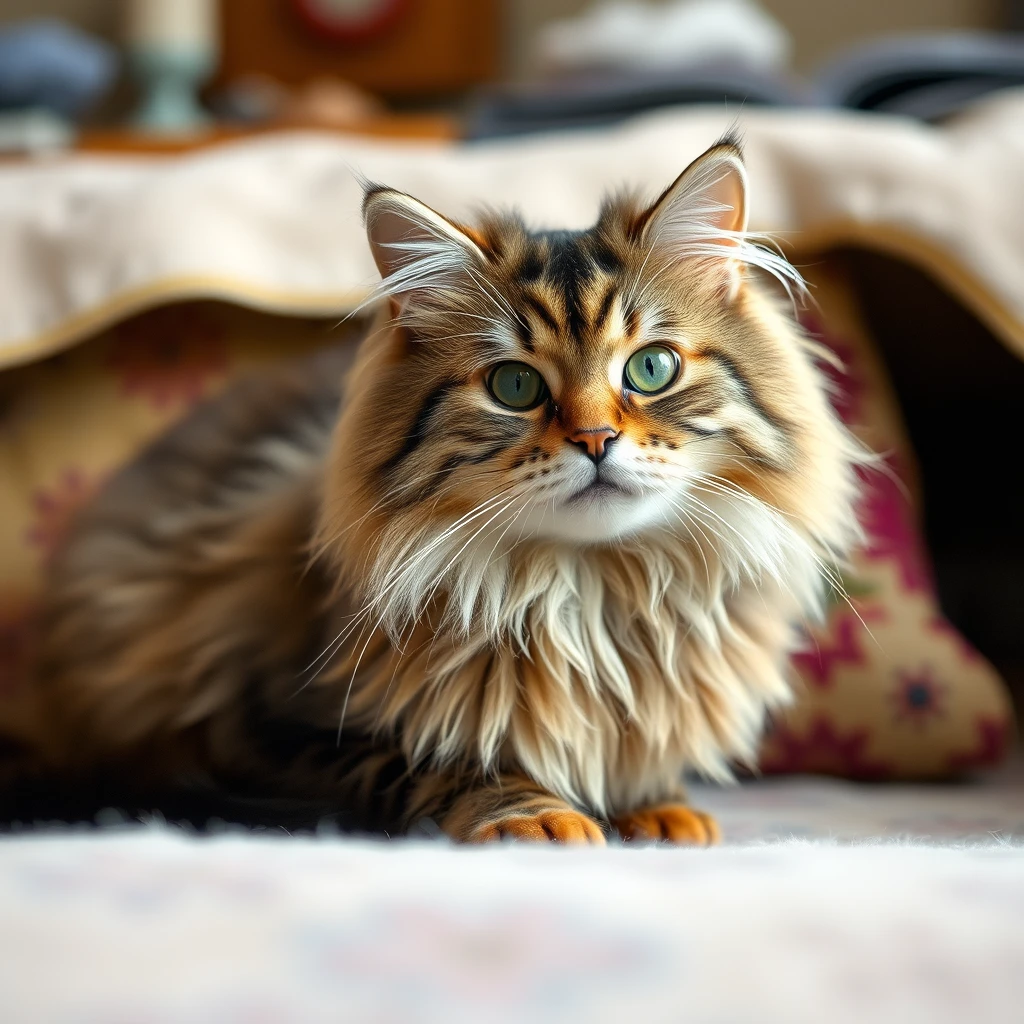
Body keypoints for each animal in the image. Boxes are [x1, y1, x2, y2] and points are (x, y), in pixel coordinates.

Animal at [34, 134, 864, 839]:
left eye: (652, 368)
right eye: (515, 386)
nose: (596, 440)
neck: (589, 594)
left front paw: (656, 806)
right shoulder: (271, 724)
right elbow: (441, 760)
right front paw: (535, 813)